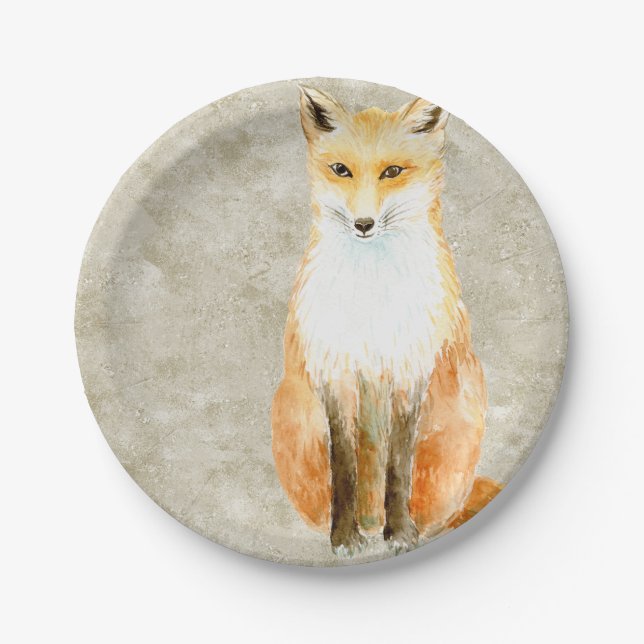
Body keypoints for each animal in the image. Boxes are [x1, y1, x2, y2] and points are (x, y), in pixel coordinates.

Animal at [271, 85, 500, 556]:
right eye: (341, 170)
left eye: (392, 171)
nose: (363, 224)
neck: (372, 299)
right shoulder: (336, 372)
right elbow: (344, 463)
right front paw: (344, 535)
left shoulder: (408, 371)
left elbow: (397, 461)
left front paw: (400, 531)